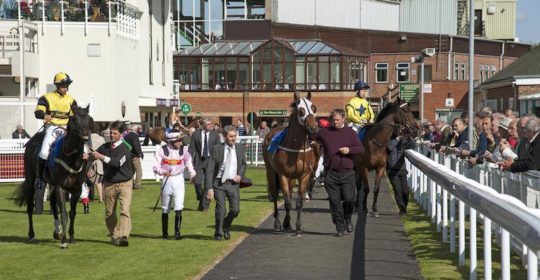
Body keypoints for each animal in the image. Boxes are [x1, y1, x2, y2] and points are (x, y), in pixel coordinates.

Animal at [14, 104, 94, 247]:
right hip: (31, 180)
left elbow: (72, 213)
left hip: (51, 184)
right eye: (75, 118)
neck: (70, 157)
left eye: (89, 118)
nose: (85, 134)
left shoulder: (77, 189)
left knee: (52, 205)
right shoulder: (60, 187)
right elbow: (64, 214)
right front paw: (64, 242)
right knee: (30, 208)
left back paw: (57, 232)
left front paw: (71, 237)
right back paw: (32, 234)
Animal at [262, 92, 318, 236]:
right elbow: (287, 202)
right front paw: (284, 224)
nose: (313, 128)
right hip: (271, 171)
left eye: (313, 108)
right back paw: (277, 223)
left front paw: (297, 227)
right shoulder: (283, 175)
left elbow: (298, 202)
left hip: (292, 178)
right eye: (301, 110)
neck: (296, 148)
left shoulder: (304, 175)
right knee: (275, 194)